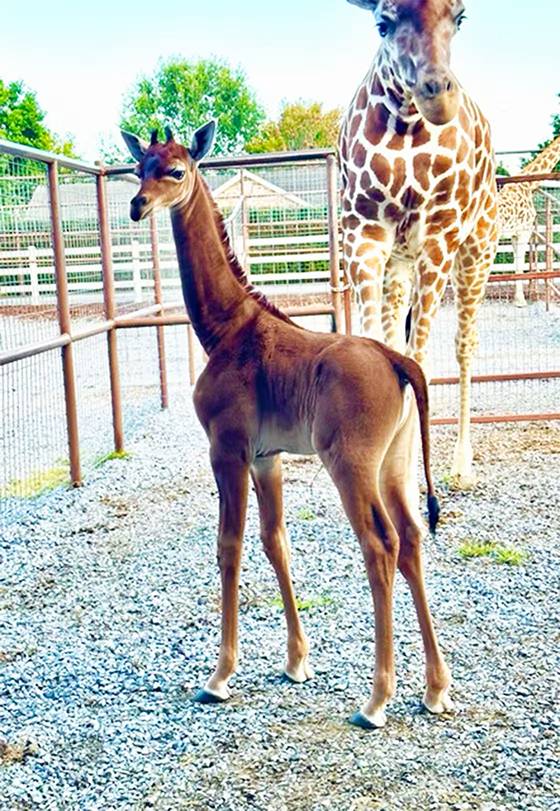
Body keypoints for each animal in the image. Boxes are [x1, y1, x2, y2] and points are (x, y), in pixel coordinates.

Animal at [122, 122, 453, 730]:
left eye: (176, 170)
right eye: (140, 167)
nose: (138, 205)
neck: (225, 328)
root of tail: (398, 361)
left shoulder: (227, 449)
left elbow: (229, 545)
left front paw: (220, 676)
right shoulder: (266, 457)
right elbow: (275, 540)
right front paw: (297, 661)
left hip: (351, 464)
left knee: (381, 543)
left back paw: (376, 701)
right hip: (395, 464)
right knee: (413, 538)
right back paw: (435, 689)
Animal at [340, 0, 499, 487]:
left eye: (460, 17)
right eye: (383, 24)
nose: (437, 95)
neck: (407, 125)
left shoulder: (439, 236)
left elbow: (420, 358)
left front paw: (407, 480)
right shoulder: (363, 233)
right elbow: (379, 347)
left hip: (476, 251)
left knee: (464, 344)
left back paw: (462, 465)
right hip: (400, 262)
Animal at [497, 134, 560, 307]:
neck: (528, 183)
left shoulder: (514, 234)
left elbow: (516, 263)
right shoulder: (524, 231)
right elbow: (519, 264)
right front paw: (520, 301)